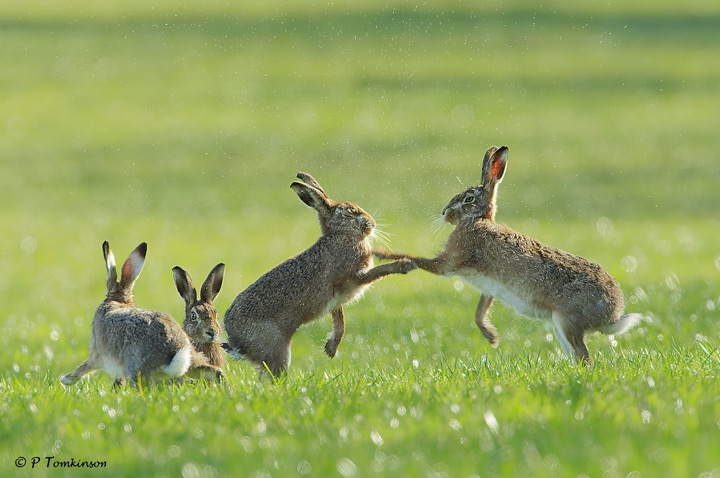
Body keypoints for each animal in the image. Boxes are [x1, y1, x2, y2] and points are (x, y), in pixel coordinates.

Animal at [60, 242, 223, 388]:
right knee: (215, 372)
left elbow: (86, 366)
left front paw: (66, 380)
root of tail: (175, 350)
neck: (117, 301)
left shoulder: (97, 352)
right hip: (192, 359)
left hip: (135, 367)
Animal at [223, 172, 416, 378]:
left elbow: (340, 321)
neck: (341, 234)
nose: (372, 223)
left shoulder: (335, 299)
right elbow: (379, 272)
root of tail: (235, 340)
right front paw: (405, 264)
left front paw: (330, 349)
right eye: (350, 212)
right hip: (276, 349)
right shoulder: (352, 278)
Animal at [375, 146, 641, 364]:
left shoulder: (448, 262)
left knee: (584, 356)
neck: (478, 220)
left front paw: (384, 255)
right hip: (559, 325)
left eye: (468, 198)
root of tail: (611, 315)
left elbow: (416, 258)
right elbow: (480, 310)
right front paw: (491, 336)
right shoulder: (488, 287)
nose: (444, 213)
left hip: (567, 321)